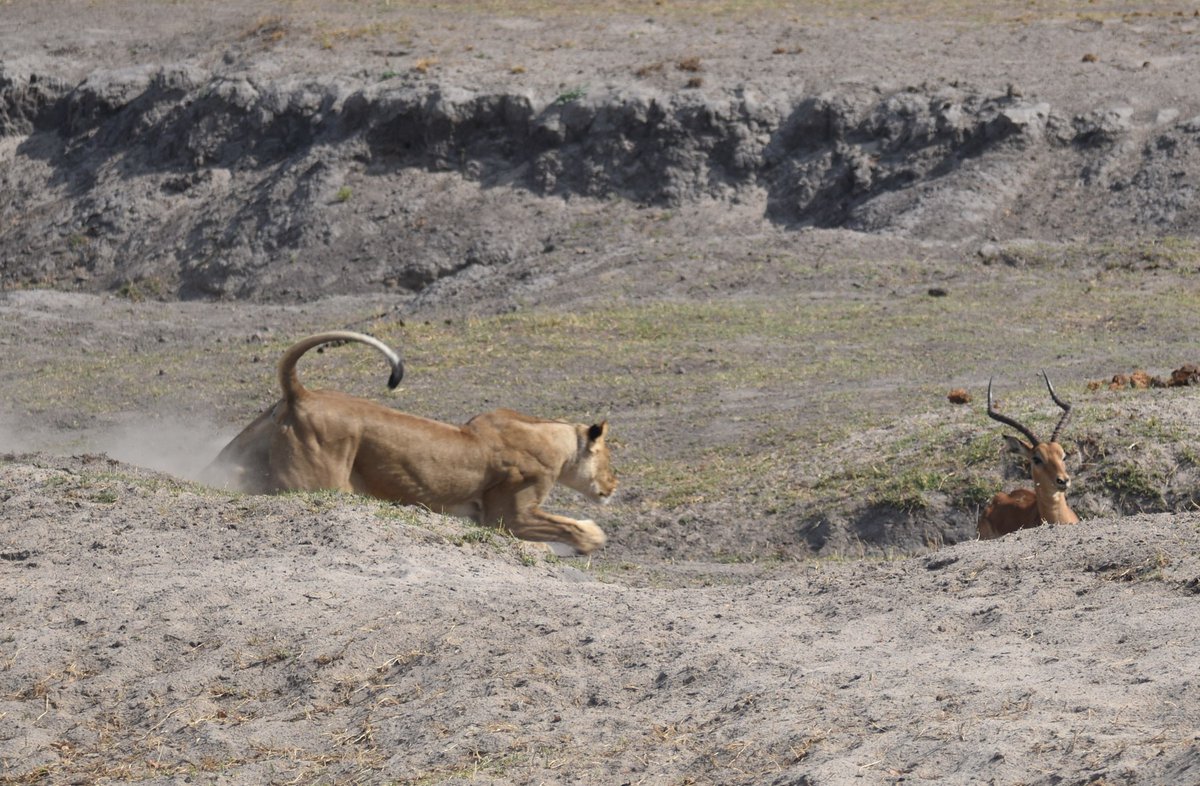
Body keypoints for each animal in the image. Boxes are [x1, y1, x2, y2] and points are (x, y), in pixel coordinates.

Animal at [200, 331, 616, 553]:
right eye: (609, 459)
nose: (613, 485)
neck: (556, 440)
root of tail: (300, 392)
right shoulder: (508, 514)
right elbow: (575, 529)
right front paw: (589, 537)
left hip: (244, 449)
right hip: (314, 481)